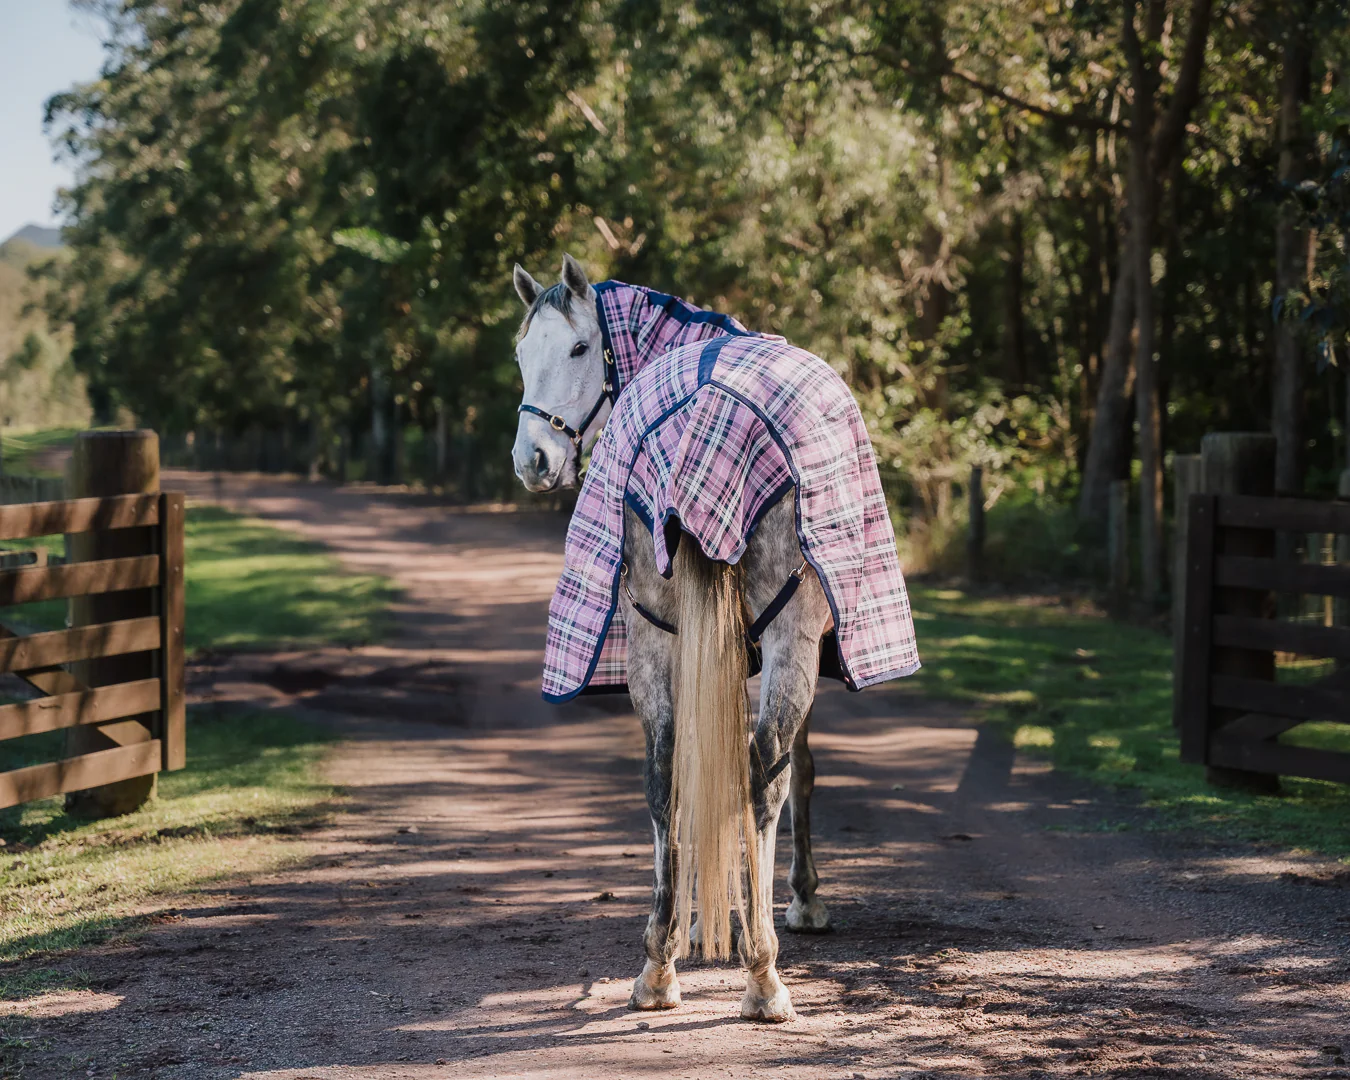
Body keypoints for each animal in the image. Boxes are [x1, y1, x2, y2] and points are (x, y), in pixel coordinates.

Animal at [509, 254, 919, 1022]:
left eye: (577, 349)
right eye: (522, 355)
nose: (533, 459)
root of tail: (703, 413)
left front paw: (701, 923)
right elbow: (792, 774)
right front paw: (796, 903)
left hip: (653, 639)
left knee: (665, 771)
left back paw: (658, 967)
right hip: (788, 641)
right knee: (764, 776)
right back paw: (763, 973)